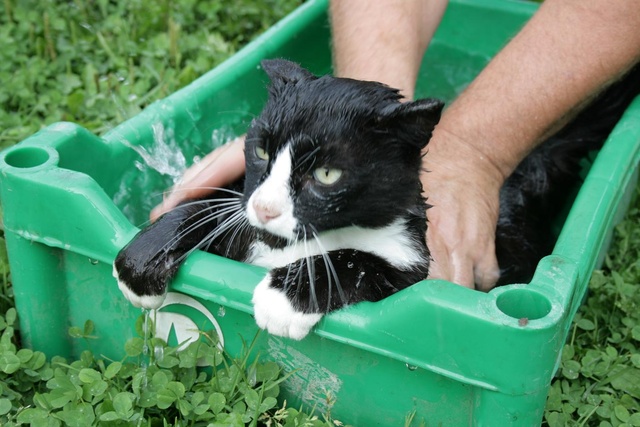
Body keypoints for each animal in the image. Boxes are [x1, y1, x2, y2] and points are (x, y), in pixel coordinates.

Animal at [115, 59, 640, 342]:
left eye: (327, 174)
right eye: (261, 150)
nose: (265, 209)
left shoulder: (414, 263)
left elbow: (360, 260)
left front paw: (285, 297)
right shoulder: (242, 214)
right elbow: (204, 210)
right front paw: (138, 262)